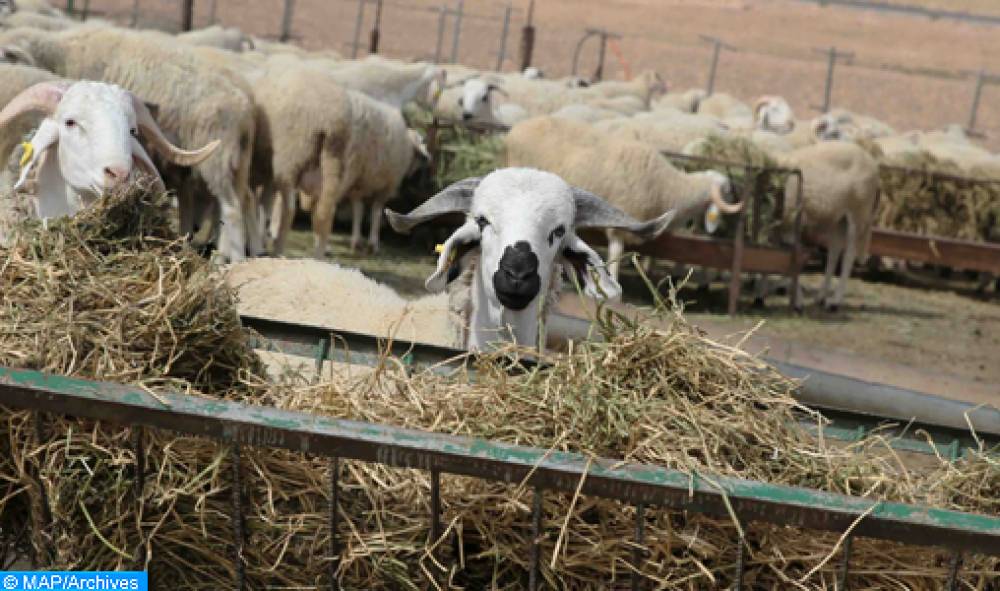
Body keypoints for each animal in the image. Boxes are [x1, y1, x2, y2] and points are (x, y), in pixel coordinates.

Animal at [508, 118, 744, 282]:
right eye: (726, 190)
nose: (737, 198)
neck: (669, 187)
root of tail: (517, 128)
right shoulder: (620, 219)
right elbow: (616, 251)